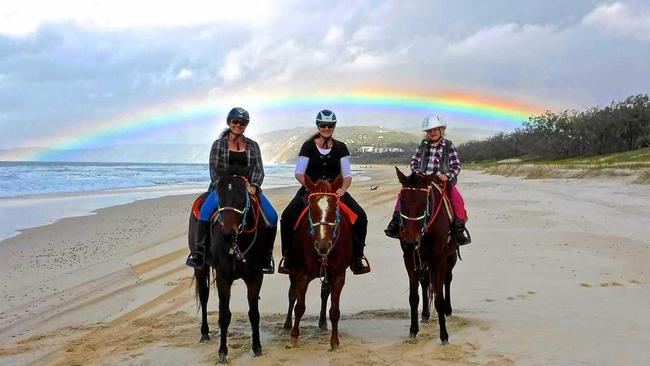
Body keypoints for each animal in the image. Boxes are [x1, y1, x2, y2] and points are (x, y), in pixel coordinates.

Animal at [186, 168, 274, 364]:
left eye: (242, 196)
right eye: (219, 196)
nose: (227, 233)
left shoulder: (256, 276)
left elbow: (254, 313)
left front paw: (257, 347)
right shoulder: (223, 277)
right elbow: (225, 315)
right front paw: (222, 353)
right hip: (200, 268)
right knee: (204, 297)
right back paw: (205, 333)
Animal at [282, 176, 352, 350]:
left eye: (335, 207)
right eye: (311, 208)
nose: (323, 245)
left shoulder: (338, 276)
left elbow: (334, 310)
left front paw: (334, 341)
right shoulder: (302, 274)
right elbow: (299, 306)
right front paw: (293, 338)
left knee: (324, 294)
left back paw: (322, 322)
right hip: (292, 271)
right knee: (292, 295)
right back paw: (287, 324)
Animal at [394, 167, 456, 344]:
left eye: (424, 203)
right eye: (402, 202)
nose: (410, 242)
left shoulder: (439, 259)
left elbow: (439, 299)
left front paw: (444, 336)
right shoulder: (409, 259)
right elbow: (414, 297)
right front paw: (413, 330)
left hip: (451, 257)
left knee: (447, 280)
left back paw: (448, 310)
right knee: (425, 282)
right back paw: (425, 314)